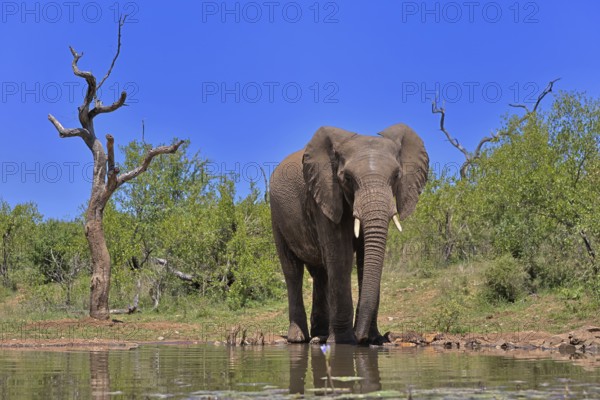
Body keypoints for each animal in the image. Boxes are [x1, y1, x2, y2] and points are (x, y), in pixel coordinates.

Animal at [270, 124, 428, 344]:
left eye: (397, 176)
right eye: (347, 178)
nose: (361, 337)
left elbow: (364, 259)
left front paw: (372, 339)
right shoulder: (325, 194)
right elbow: (341, 256)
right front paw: (344, 342)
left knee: (320, 273)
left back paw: (320, 334)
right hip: (276, 216)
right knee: (292, 270)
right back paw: (298, 338)